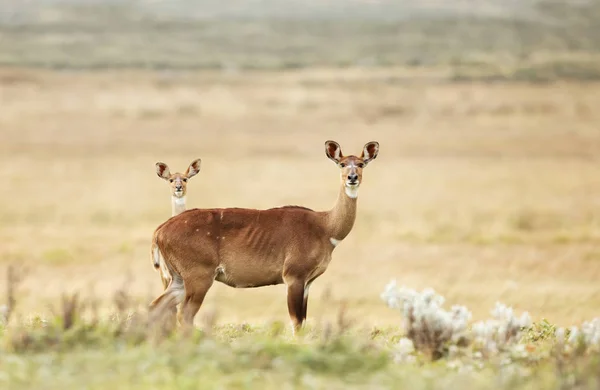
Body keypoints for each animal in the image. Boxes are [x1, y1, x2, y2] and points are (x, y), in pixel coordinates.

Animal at [148, 140, 378, 332]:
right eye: (342, 164)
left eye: (361, 163)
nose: (352, 178)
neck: (324, 226)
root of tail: (160, 230)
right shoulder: (294, 277)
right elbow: (297, 322)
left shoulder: (308, 282)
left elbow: (302, 321)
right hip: (198, 277)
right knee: (184, 314)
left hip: (178, 280)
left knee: (156, 307)